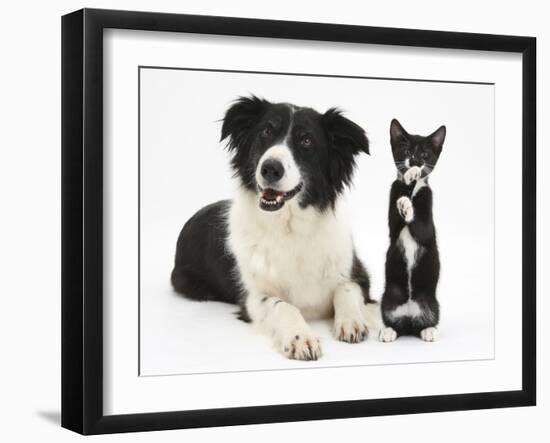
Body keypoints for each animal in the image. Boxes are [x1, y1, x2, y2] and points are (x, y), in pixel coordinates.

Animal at [171, 96, 380, 360]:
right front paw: (301, 337)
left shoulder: (357, 272)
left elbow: (346, 289)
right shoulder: (252, 297)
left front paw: (351, 321)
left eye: (306, 140)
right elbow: (283, 306)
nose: (271, 168)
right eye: (266, 131)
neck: (289, 226)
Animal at [380, 118, 448, 344]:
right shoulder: (392, 215)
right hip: (389, 296)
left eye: (425, 155)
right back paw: (388, 331)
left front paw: (412, 179)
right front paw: (408, 181)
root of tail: (410, 316)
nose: (415, 162)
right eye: (406, 150)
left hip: (430, 300)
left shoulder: (427, 219)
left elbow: (423, 230)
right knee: (395, 322)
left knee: (427, 321)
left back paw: (429, 330)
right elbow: (395, 218)